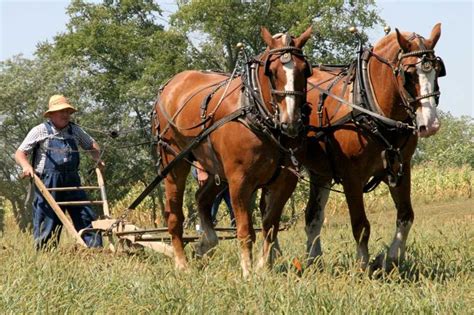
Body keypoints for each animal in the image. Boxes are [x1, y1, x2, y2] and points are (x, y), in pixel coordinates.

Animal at [152, 27, 312, 278]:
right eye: (272, 71)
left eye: (305, 69)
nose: (291, 122)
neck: (256, 112)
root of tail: (170, 84)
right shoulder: (239, 181)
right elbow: (245, 230)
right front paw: (247, 272)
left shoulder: (285, 181)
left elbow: (270, 226)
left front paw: (263, 268)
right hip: (174, 161)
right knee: (175, 213)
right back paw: (181, 263)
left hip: (215, 168)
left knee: (202, 198)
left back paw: (206, 242)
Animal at [302, 23, 446, 272]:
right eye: (408, 74)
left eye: (437, 71)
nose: (430, 125)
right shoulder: (351, 176)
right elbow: (361, 225)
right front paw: (362, 266)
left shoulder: (400, 168)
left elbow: (406, 216)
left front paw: (388, 259)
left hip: (321, 173)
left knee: (313, 216)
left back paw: (313, 260)